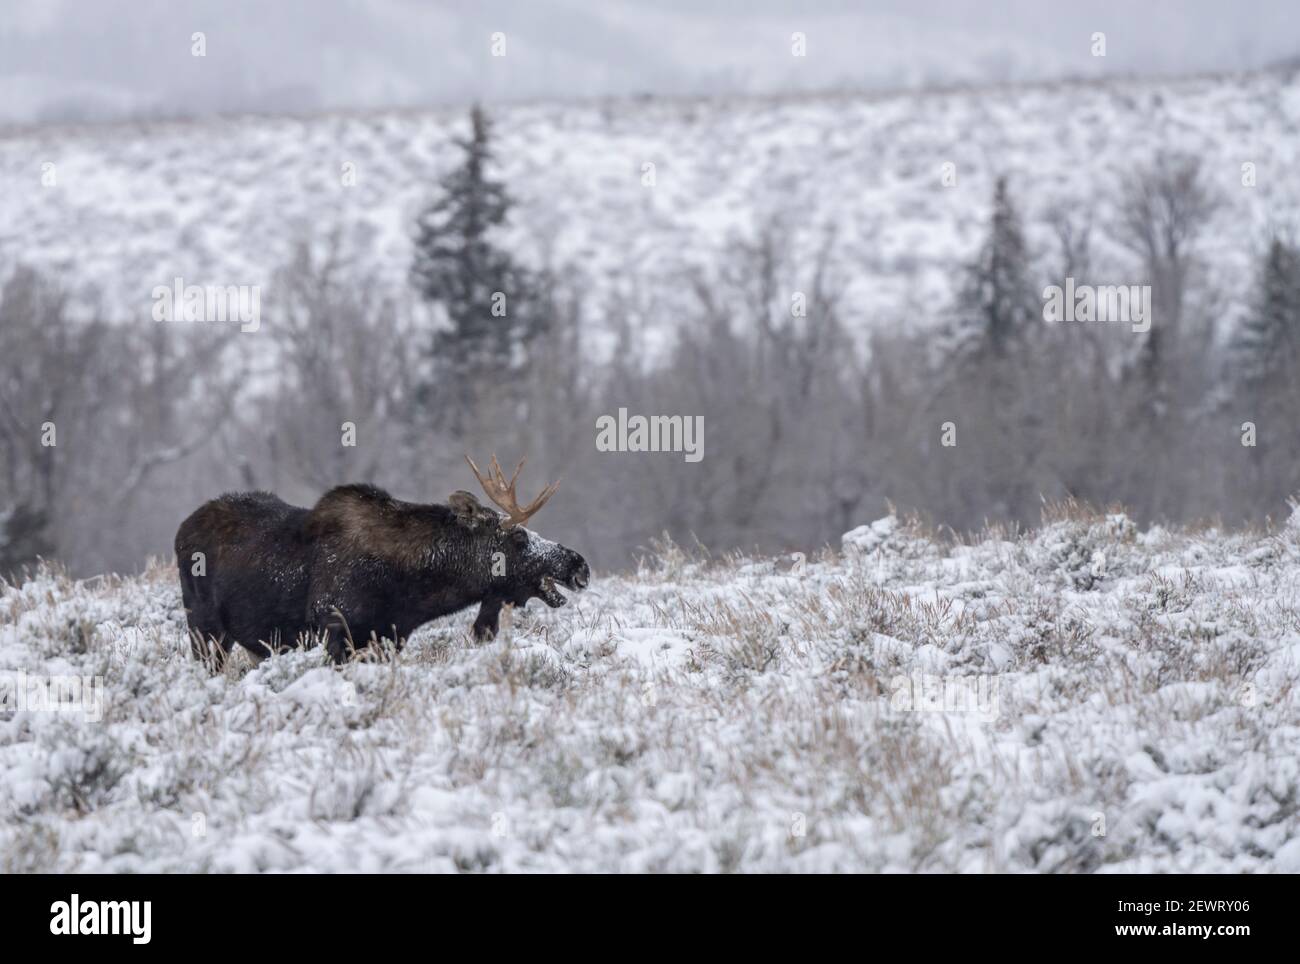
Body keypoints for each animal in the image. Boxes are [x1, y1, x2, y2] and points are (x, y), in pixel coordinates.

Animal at [174, 454, 590, 670]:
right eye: (519, 537)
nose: (579, 564)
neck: (411, 591)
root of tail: (180, 530)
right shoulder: (336, 632)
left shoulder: (390, 637)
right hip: (204, 630)